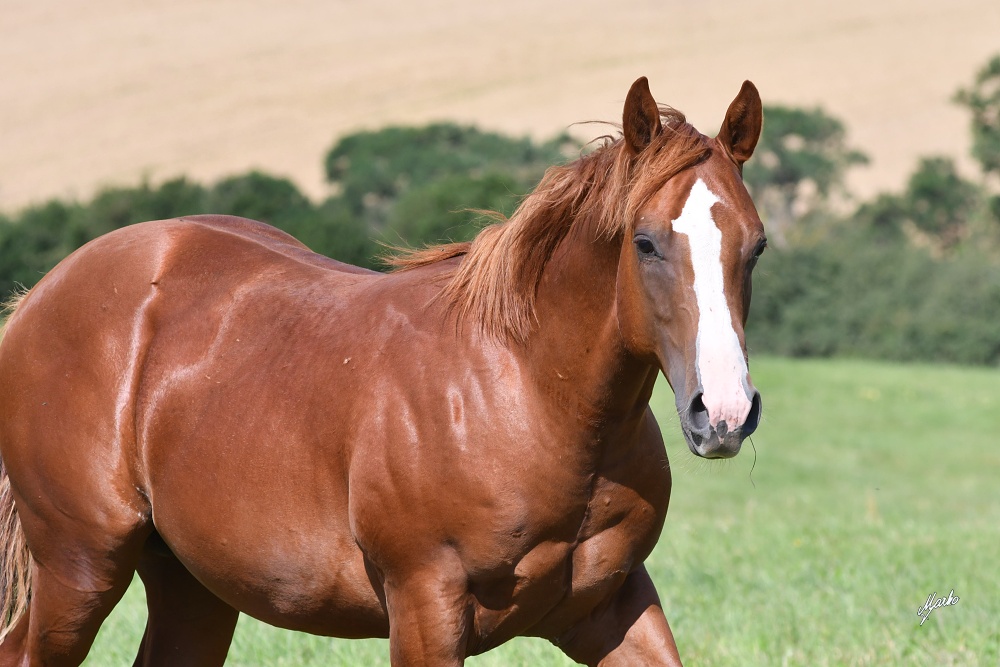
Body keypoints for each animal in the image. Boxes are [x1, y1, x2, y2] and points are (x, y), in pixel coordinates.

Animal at [0, 75, 764, 664]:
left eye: (755, 245)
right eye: (645, 242)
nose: (723, 413)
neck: (529, 396)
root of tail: (38, 298)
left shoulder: (611, 604)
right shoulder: (425, 607)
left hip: (192, 583)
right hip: (81, 567)